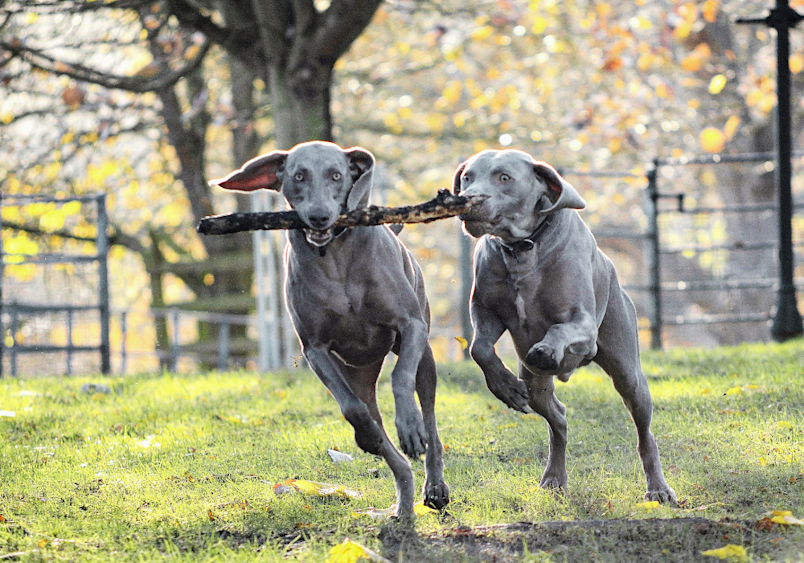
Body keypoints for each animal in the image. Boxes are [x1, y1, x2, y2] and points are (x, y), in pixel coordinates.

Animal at [212, 141, 452, 520]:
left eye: (336, 175)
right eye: (298, 176)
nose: (319, 216)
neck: (335, 257)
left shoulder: (410, 325)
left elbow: (401, 377)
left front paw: (409, 426)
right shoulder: (315, 349)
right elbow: (352, 409)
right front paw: (369, 436)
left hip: (424, 354)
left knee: (429, 415)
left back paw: (434, 484)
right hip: (359, 375)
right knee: (378, 429)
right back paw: (401, 500)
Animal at [456, 149, 676, 502]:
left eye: (504, 177)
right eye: (467, 177)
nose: (467, 200)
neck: (522, 248)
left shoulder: (583, 324)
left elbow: (560, 329)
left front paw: (546, 349)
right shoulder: (485, 311)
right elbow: (480, 348)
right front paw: (505, 386)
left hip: (629, 373)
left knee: (644, 434)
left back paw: (658, 488)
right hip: (536, 390)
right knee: (557, 417)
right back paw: (554, 476)